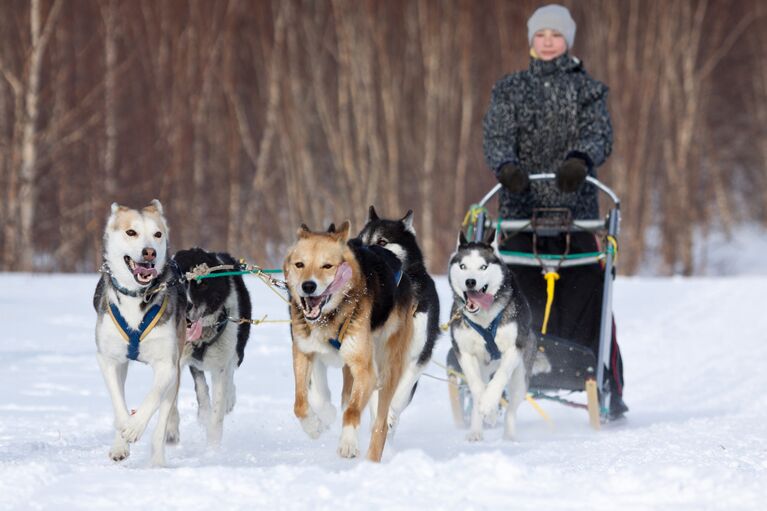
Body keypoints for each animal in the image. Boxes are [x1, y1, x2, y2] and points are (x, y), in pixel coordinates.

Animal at [284, 222, 416, 462]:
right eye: (300, 264)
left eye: (327, 266)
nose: (308, 286)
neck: (328, 319)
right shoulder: (303, 353)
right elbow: (300, 404)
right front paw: (314, 426)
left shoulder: (365, 370)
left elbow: (353, 410)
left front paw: (348, 442)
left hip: (388, 369)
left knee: (380, 424)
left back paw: (372, 461)